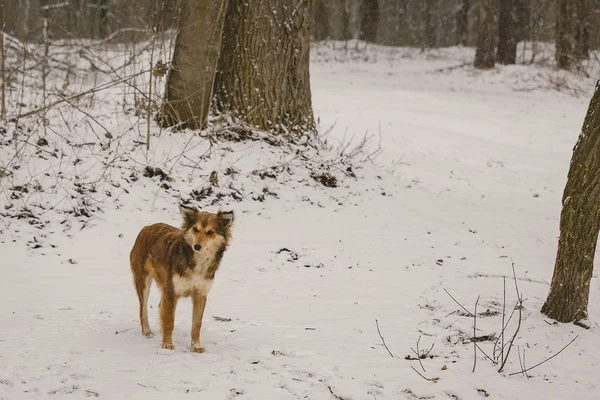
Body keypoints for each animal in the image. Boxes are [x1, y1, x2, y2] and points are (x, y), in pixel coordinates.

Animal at [129, 205, 234, 352]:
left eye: (210, 232)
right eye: (195, 229)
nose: (197, 246)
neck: (199, 262)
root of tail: (147, 227)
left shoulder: (200, 295)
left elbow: (197, 325)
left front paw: (196, 346)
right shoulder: (171, 292)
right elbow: (170, 321)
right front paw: (167, 344)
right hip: (144, 282)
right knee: (143, 309)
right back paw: (147, 331)